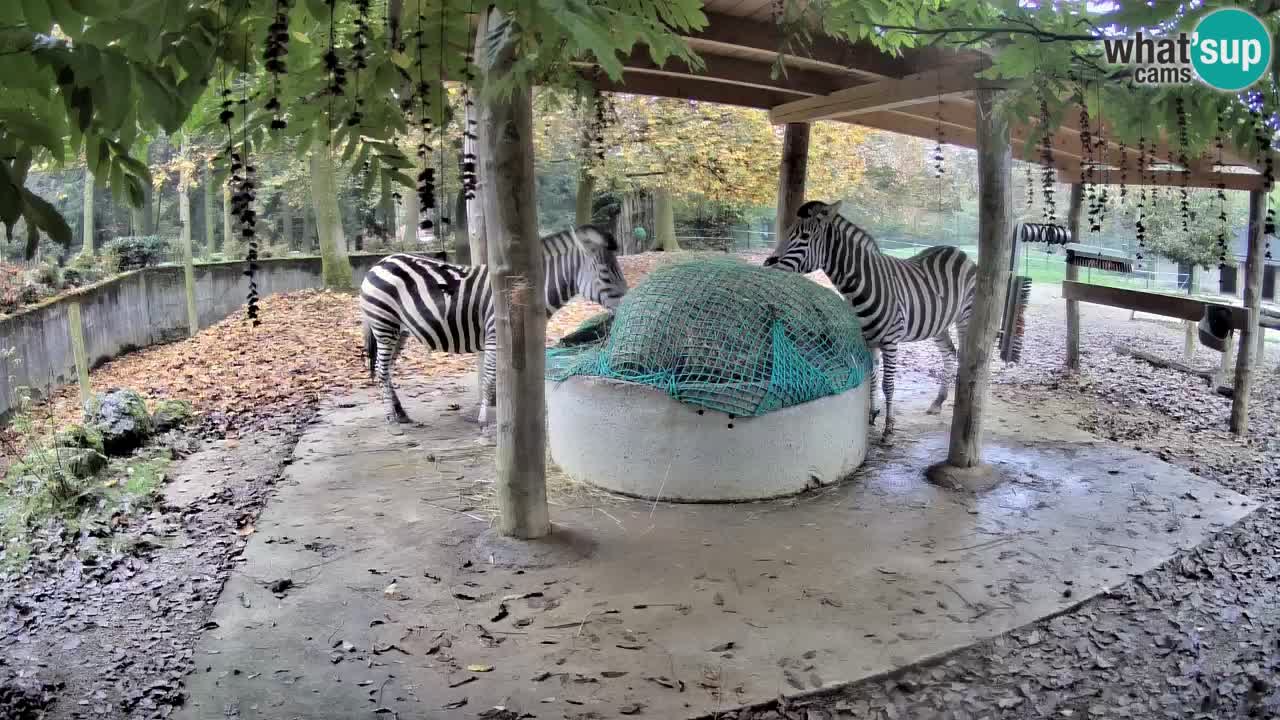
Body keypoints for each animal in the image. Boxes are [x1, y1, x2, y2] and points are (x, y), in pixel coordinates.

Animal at [360, 224, 624, 422]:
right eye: (605, 275)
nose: (628, 304)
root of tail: (378, 263)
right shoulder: (496, 334)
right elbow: (489, 378)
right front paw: (486, 421)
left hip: (399, 330)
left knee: (388, 369)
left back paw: (400, 413)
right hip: (384, 324)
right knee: (382, 369)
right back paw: (392, 419)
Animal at [757, 198, 977, 440]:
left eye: (804, 237)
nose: (767, 264)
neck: (859, 289)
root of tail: (957, 250)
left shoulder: (890, 340)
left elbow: (888, 384)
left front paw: (888, 429)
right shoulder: (868, 339)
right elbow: (872, 376)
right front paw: (872, 415)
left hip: (965, 317)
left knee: (962, 355)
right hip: (938, 324)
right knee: (948, 354)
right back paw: (938, 402)